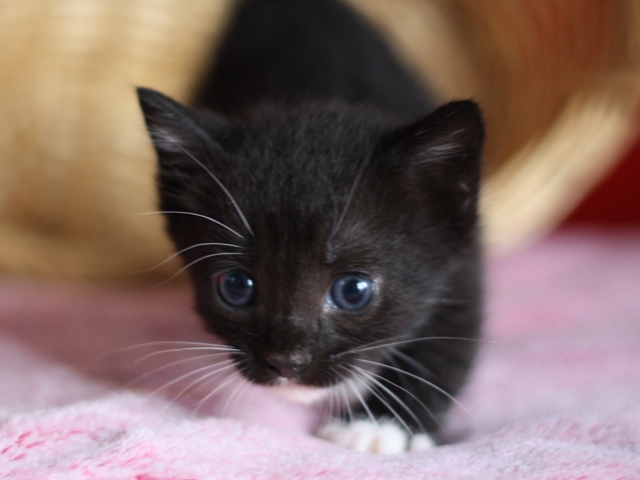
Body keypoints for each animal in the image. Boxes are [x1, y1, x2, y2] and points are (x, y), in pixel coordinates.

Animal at [138, 0, 482, 452]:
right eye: (236, 286)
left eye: (353, 290)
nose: (287, 361)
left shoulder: (463, 259)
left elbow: (449, 342)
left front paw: (377, 425)